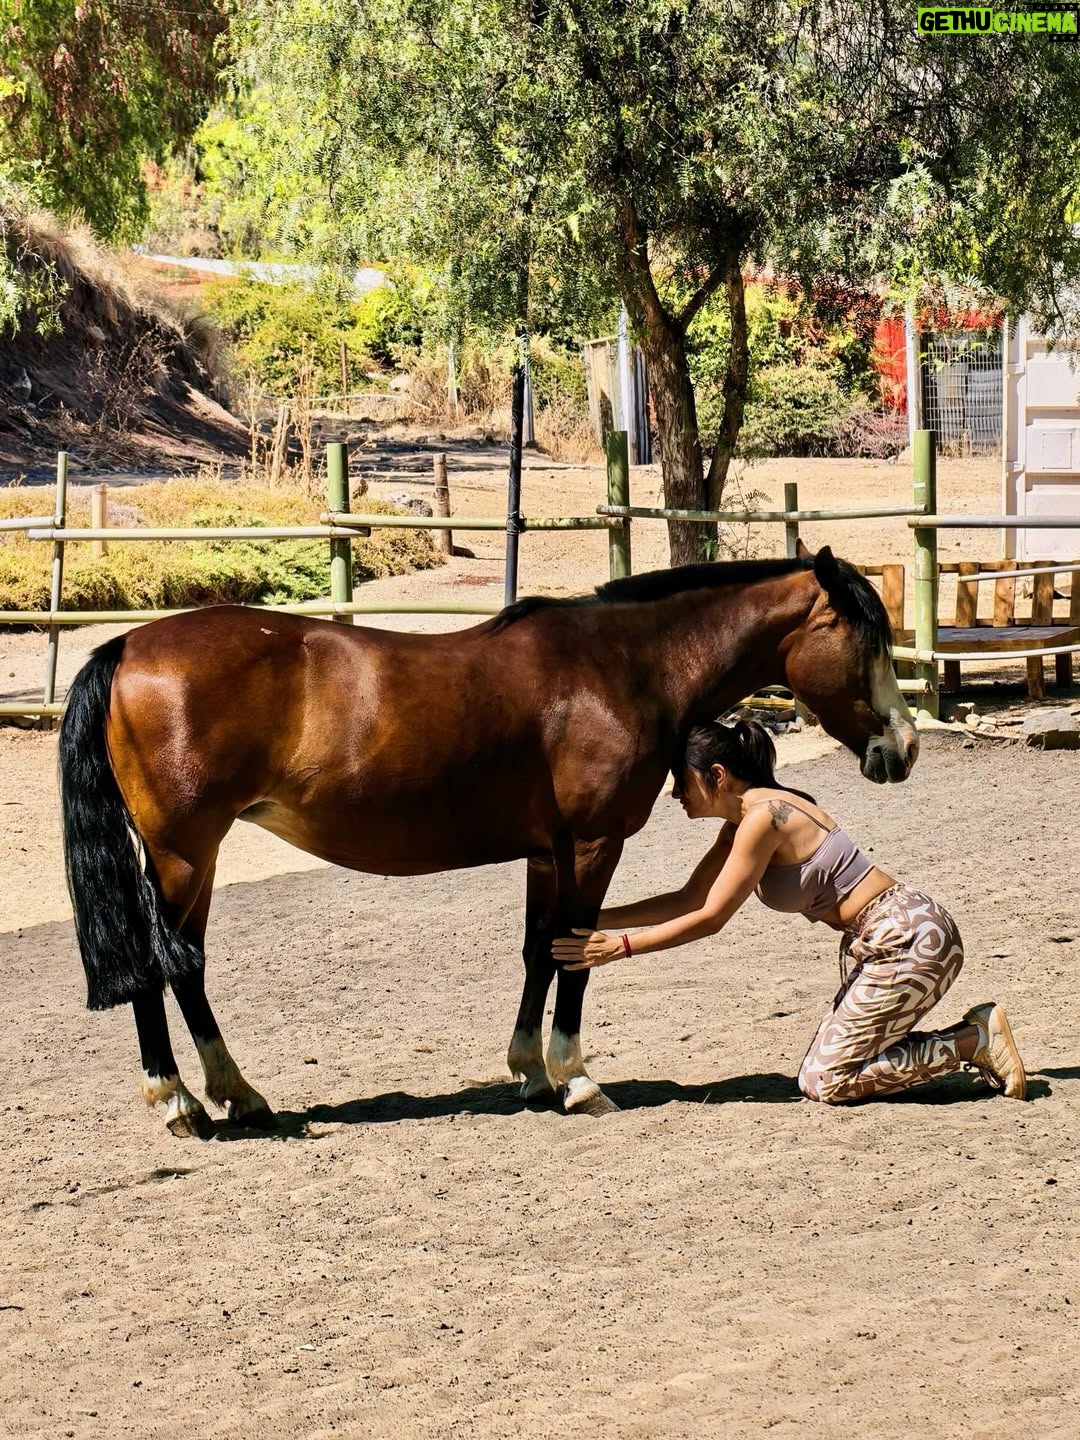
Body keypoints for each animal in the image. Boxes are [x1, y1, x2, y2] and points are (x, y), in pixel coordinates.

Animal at [58, 544, 919, 1138]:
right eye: (866, 639)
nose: (903, 748)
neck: (620, 667)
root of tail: (126, 648)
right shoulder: (593, 845)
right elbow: (576, 952)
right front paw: (577, 1079)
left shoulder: (546, 852)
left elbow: (541, 951)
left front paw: (531, 1074)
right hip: (181, 855)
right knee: (162, 965)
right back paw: (178, 1101)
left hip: (195, 861)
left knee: (187, 968)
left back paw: (235, 1094)